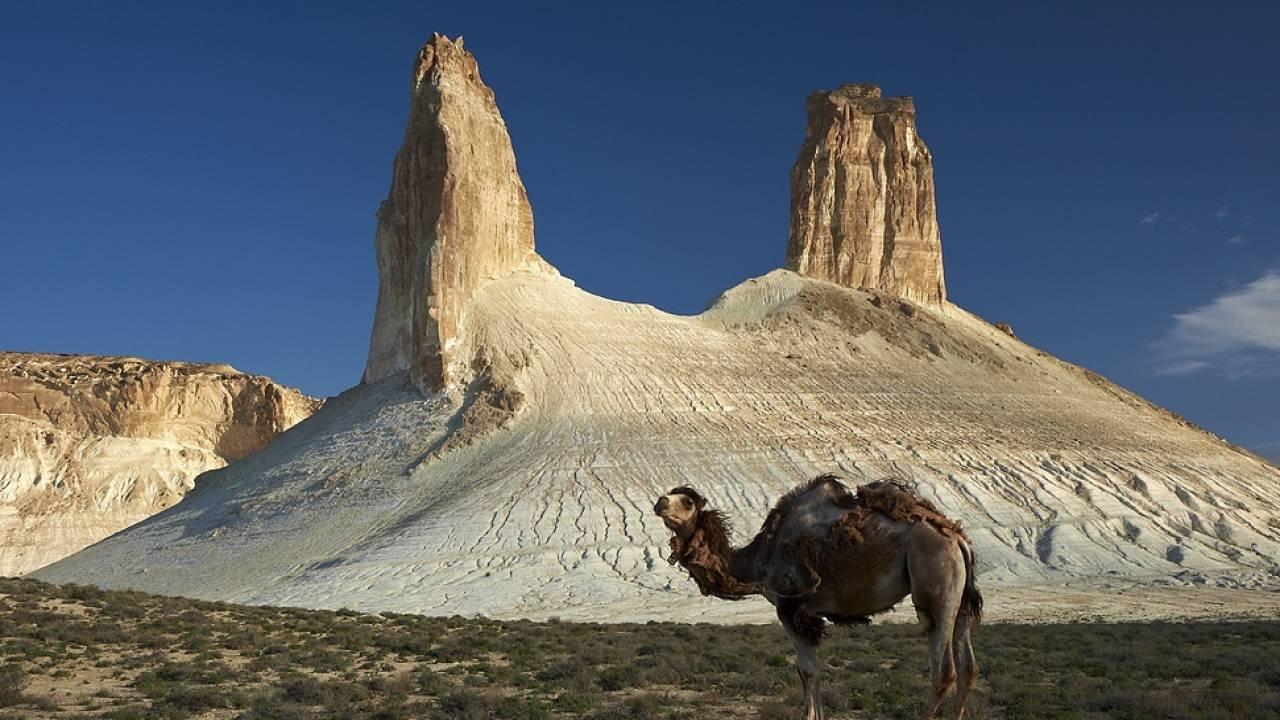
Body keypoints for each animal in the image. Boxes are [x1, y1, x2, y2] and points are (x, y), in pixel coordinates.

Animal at [655, 471, 983, 717]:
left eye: (687, 501)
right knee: (969, 667)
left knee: (944, 671)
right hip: (960, 598)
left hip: (936, 588)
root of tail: (958, 539)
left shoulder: (789, 606)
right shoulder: (807, 614)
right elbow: (812, 670)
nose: (659, 502)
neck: (759, 558)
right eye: (669, 494)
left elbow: (807, 670)